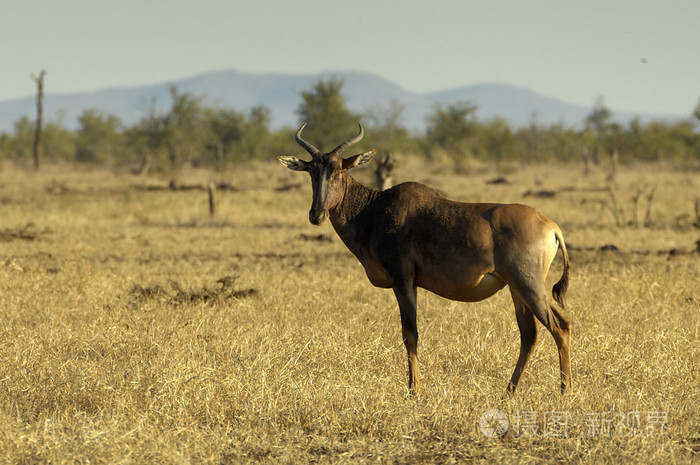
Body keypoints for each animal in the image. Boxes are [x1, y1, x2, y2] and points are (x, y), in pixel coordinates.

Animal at [276, 121, 572, 394]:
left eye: (339, 169)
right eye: (312, 170)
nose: (316, 214)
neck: (375, 207)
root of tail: (550, 225)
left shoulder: (402, 278)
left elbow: (410, 332)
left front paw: (414, 389)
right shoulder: (412, 282)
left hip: (528, 285)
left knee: (560, 327)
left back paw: (564, 391)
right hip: (515, 288)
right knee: (529, 335)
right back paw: (508, 392)